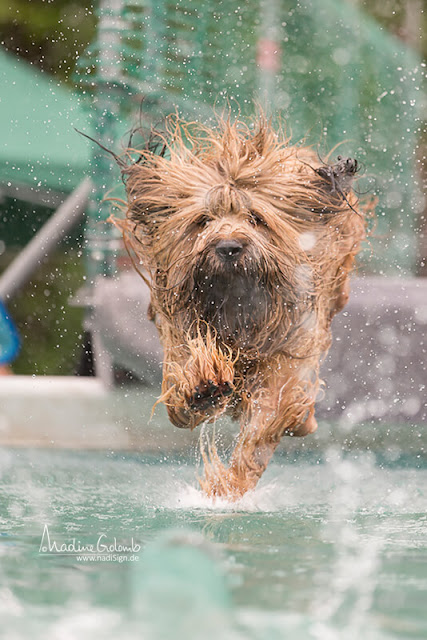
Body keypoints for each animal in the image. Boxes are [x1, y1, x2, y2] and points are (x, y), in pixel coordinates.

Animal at [112, 119, 370, 500]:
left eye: (256, 218)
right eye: (203, 220)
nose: (229, 246)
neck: (236, 306)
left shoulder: (286, 354)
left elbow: (265, 422)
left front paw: (230, 485)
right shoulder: (177, 337)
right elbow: (183, 388)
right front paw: (204, 385)